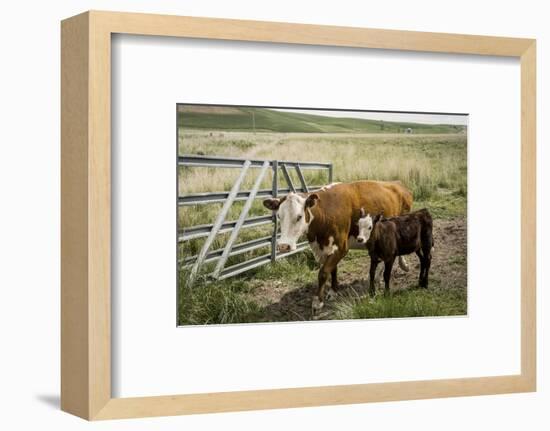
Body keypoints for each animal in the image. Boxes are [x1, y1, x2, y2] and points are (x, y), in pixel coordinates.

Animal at [264, 179, 414, 318]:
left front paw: (317, 303)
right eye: (279, 216)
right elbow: (333, 270)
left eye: (299, 216)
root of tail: (397, 183)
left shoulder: (342, 247)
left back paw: (391, 270)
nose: (284, 246)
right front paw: (333, 291)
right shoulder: (324, 248)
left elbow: (323, 273)